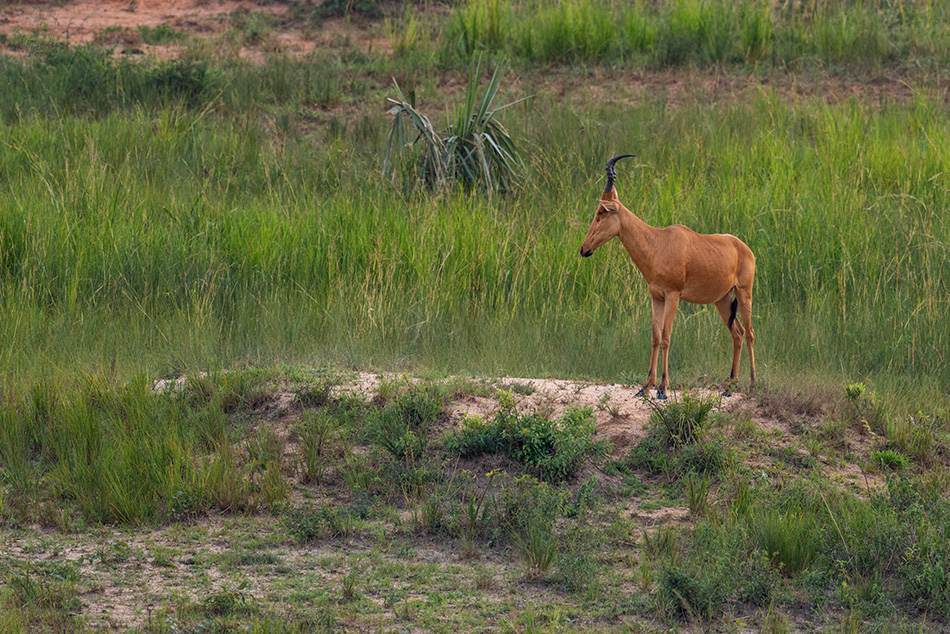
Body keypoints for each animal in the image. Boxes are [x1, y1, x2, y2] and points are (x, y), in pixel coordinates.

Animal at [580, 155, 760, 398]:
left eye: (601, 212)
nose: (584, 249)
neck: (659, 242)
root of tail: (744, 247)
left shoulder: (673, 295)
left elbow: (666, 336)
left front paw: (663, 389)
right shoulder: (656, 297)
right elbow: (655, 337)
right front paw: (645, 387)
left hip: (744, 292)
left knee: (749, 333)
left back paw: (752, 384)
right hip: (721, 300)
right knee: (737, 333)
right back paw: (730, 387)